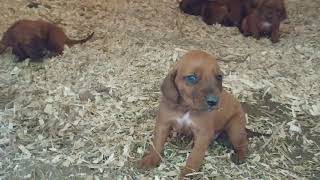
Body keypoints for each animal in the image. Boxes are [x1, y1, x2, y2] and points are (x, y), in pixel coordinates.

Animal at [138, 49, 248, 179]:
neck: (187, 108)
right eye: (192, 78)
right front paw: (151, 159)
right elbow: (157, 144)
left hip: (235, 129)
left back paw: (240, 155)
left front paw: (188, 172)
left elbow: (195, 155)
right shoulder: (163, 124)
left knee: (243, 143)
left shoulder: (203, 134)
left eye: (219, 77)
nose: (214, 101)